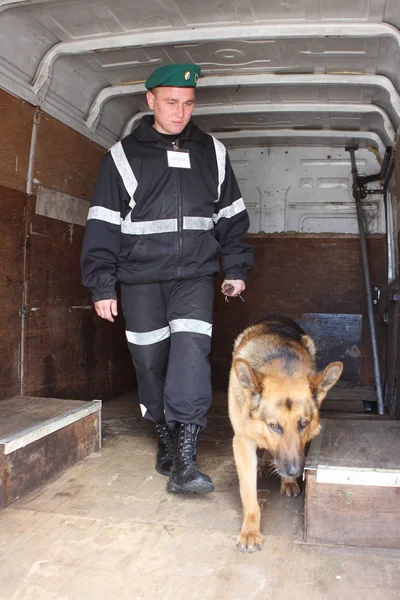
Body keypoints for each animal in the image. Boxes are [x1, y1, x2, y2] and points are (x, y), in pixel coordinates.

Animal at [228, 316, 344, 552]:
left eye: (303, 424)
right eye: (274, 426)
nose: (295, 471)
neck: (282, 364)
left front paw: (288, 481)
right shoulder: (243, 442)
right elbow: (248, 493)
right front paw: (250, 531)